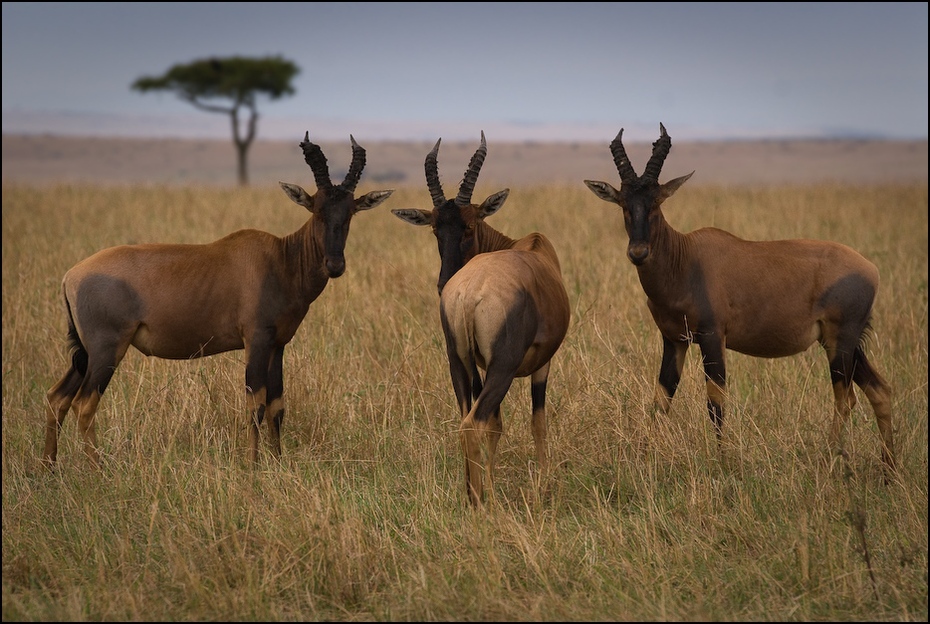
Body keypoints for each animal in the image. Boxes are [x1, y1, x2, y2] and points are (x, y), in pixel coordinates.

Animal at [44, 132, 392, 468]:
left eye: (350, 213)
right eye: (317, 209)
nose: (335, 265)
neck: (281, 259)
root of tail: (71, 276)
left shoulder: (278, 344)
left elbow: (277, 405)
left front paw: (279, 464)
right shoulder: (256, 340)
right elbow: (256, 403)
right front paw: (253, 467)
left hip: (86, 353)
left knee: (56, 397)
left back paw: (49, 467)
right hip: (107, 349)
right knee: (84, 404)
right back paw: (96, 469)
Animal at [390, 132, 568, 508]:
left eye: (469, 225)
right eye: (435, 230)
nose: (443, 283)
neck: (532, 246)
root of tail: (470, 292)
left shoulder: (475, 366)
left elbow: (497, 426)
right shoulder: (542, 363)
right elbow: (537, 422)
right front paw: (543, 487)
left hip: (457, 361)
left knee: (465, 420)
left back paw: (472, 493)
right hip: (503, 368)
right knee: (475, 422)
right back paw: (481, 501)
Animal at [584, 122, 896, 476]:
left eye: (656, 202)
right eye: (624, 203)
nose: (638, 253)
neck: (685, 258)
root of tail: (870, 269)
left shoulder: (712, 336)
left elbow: (715, 402)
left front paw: (724, 462)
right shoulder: (674, 340)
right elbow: (662, 400)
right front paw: (644, 458)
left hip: (840, 341)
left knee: (845, 398)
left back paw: (828, 459)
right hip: (842, 342)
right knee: (880, 391)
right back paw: (889, 472)